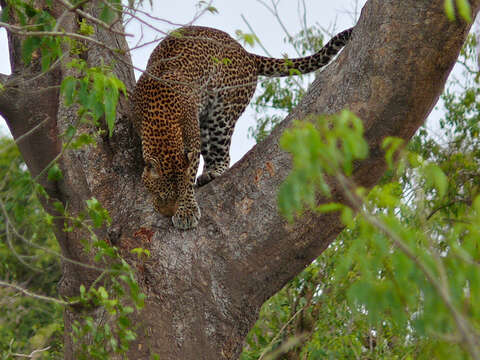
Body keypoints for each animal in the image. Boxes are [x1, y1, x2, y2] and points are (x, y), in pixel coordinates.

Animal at [131, 25, 352, 229]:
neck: (162, 125)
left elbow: (189, 175)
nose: (167, 213)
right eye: (161, 194)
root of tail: (244, 51)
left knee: (223, 154)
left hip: (222, 114)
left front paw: (186, 211)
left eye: (175, 196)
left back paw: (213, 172)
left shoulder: (191, 139)